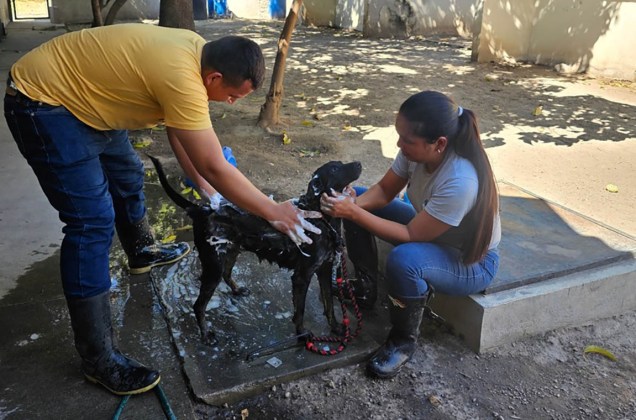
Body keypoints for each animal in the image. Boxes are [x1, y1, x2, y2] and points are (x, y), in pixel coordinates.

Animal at [146, 156, 360, 346]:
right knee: (199, 305)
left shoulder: (325, 269)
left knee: (226, 274)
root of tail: (202, 209)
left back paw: (236, 289)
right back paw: (206, 335)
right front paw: (302, 334)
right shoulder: (302, 276)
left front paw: (336, 328)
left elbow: (329, 305)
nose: (358, 163)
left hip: (230, 252)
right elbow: (300, 312)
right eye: (335, 168)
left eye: (340, 163)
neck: (323, 220)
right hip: (213, 266)